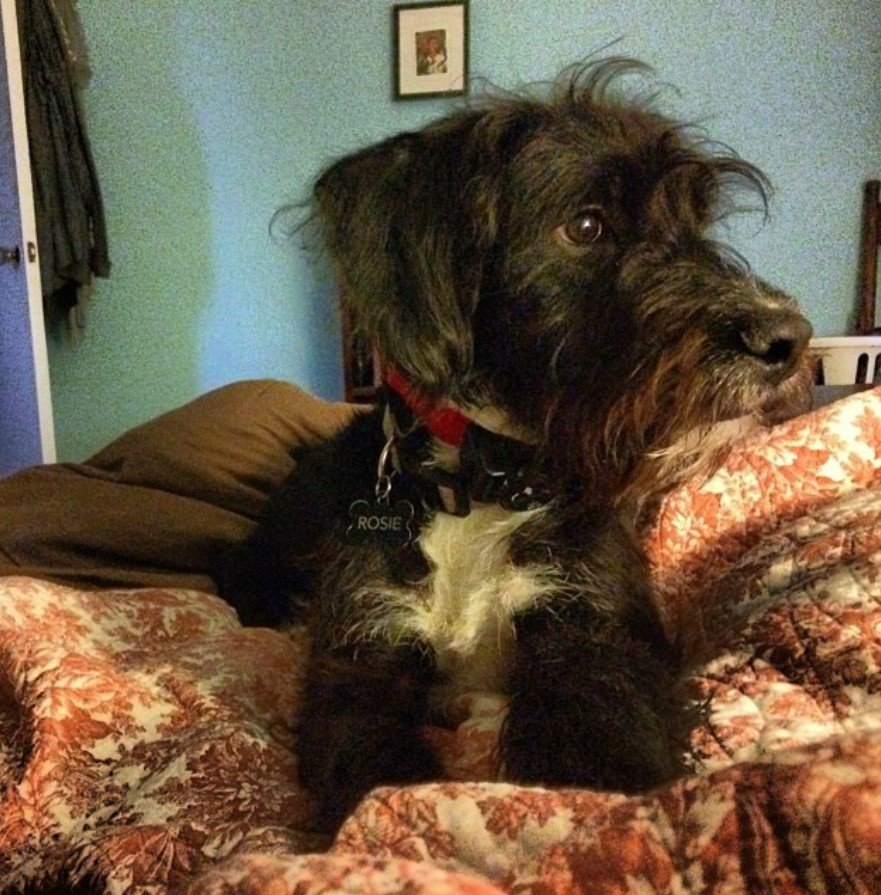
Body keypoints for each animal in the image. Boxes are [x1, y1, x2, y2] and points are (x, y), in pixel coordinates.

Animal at [217, 59, 816, 832]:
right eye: (585, 224)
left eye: (696, 223)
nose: (788, 338)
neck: (481, 486)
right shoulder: (361, 652)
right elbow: (370, 756)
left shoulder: (598, 633)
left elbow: (601, 748)